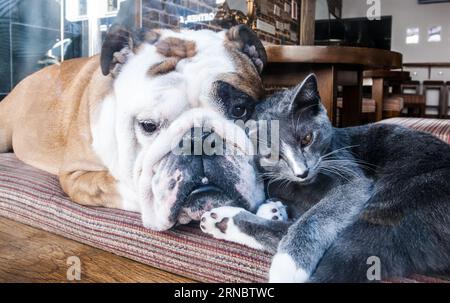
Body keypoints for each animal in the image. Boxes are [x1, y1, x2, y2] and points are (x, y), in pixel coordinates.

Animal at [200, 75, 450, 284]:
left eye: (307, 138)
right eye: (271, 155)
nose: (302, 172)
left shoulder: (352, 178)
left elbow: (315, 216)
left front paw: (288, 261)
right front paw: (273, 208)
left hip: (402, 196)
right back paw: (221, 221)